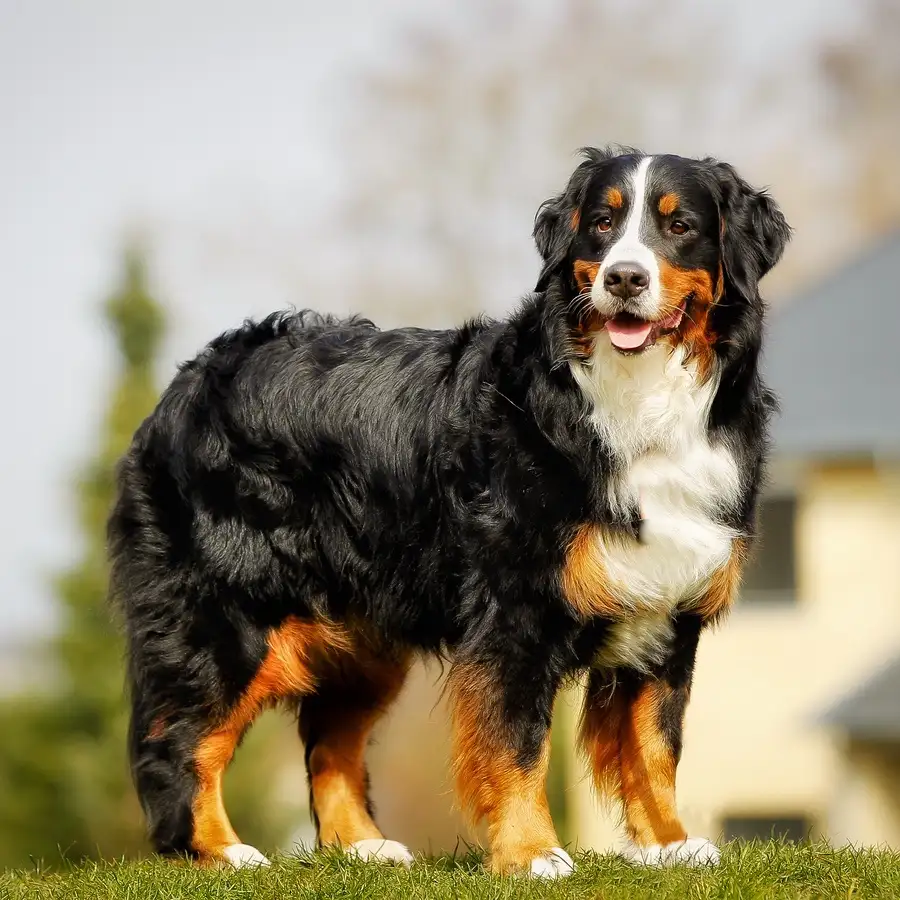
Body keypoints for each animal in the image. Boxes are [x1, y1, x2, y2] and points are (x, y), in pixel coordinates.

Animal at [109, 148, 792, 880]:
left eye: (680, 225)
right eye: (603, 224)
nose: (625, 277)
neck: (636, 402)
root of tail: (189, 379)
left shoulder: (667, 609)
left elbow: (656, 744)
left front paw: (669, 844)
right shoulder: (515, 611)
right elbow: (517, 741)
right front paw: (531, 853)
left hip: (364, 637)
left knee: (330, 741)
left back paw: (363, 846)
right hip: (229, 616)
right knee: (180, 740)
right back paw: (219, 850)